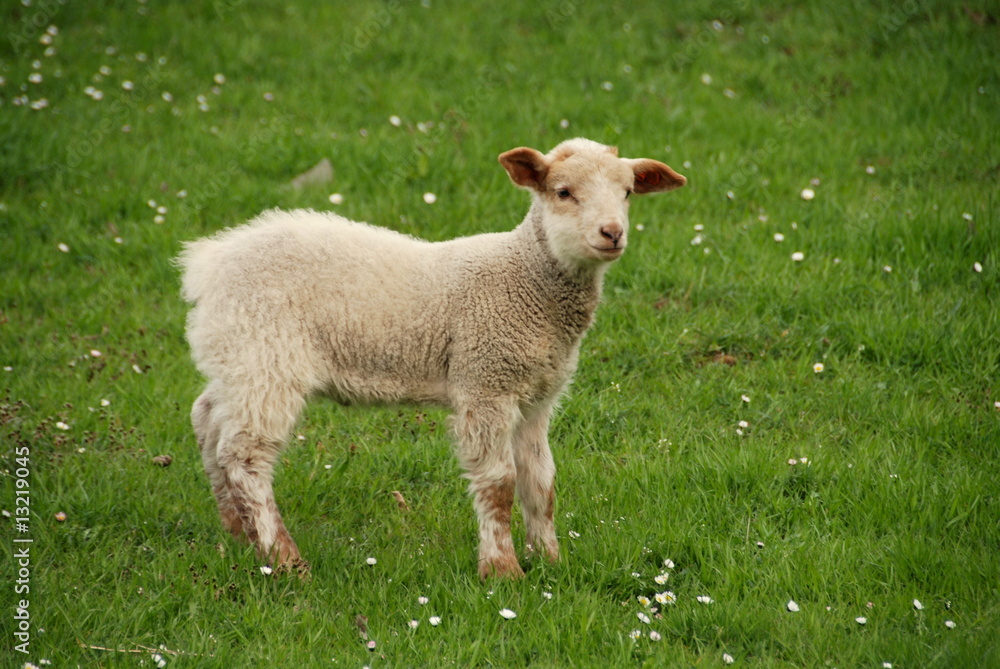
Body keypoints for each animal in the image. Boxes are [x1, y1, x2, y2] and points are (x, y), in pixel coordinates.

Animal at [176, 138, 684, 576]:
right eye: (563, 192)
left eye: (627, 192)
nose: (612, 233)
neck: (527, 279)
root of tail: (209, 262)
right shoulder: (485, 380)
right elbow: (499, 484)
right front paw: (503, 570)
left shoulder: (538, 395)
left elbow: (541, 482)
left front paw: (551, 561)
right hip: (267, 355)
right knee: (245, 456)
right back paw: (284, 559)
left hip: (236, 356)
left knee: (207, 420)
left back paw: (237, 531)